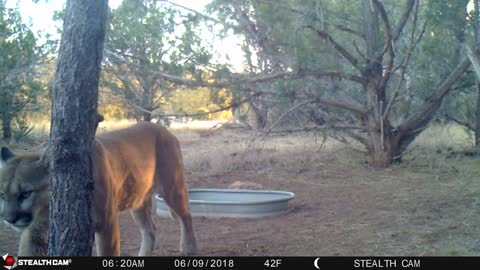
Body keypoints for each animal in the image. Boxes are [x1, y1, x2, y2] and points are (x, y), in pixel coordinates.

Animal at [0, 123, 197, 256]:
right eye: (2, 195)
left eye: (26, 193)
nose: (9, 219)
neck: (48, 208)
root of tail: (164, 129)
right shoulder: (35, 231)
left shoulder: (106, 222)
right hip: (137, 200)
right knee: (150, 229)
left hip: (173, 188)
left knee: (186, 216)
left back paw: (188, 248)